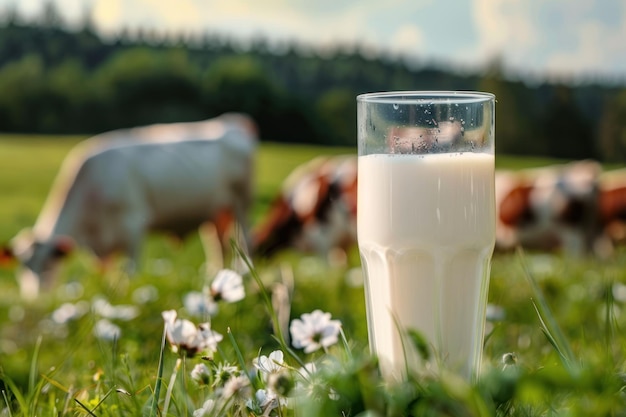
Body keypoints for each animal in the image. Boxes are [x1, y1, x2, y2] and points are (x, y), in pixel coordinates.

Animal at [7, 112, 256, 298]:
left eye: (48, 264)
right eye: (23, 269)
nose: (35, 300)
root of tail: (230, 122)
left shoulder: (133, 226)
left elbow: (131, 273)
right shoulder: (98, 248)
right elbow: (105, 274)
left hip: (242, 203)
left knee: (245, 240)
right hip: (217, 213)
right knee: (219, 245)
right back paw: (217, 277)